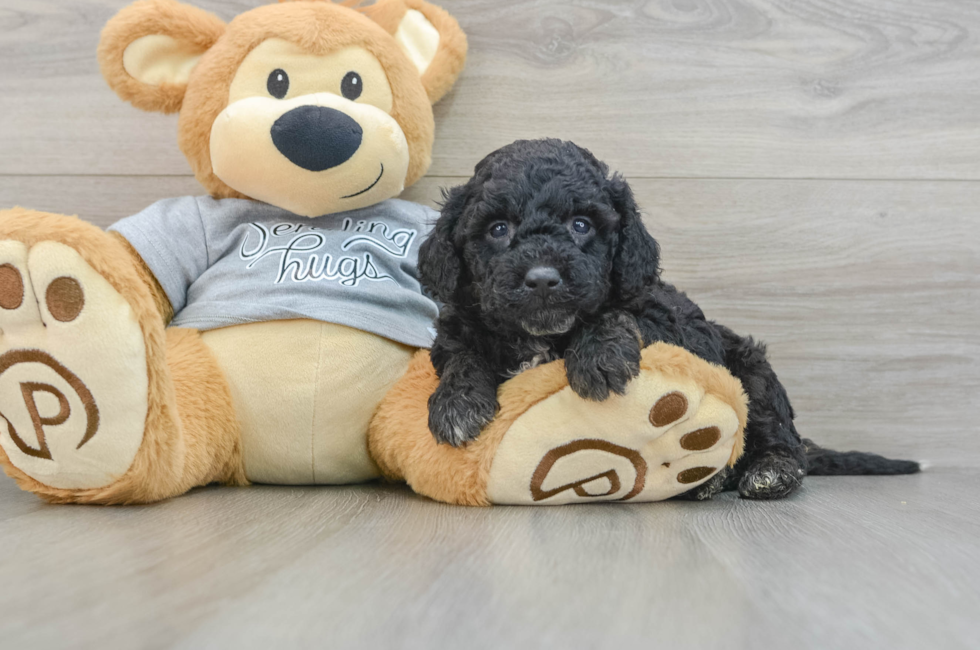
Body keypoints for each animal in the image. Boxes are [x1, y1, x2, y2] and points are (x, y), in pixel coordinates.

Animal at [416, 139, 920, 498]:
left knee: (780, 436)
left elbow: (617, 312)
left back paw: (765, 472)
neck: (540, 336)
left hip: (752, 371)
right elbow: (460, 354)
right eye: (498, 229)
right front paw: (457, 403)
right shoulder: (459, 324)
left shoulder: (664, 321)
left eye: (581, 225)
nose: (542, 279)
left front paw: (598, 356)